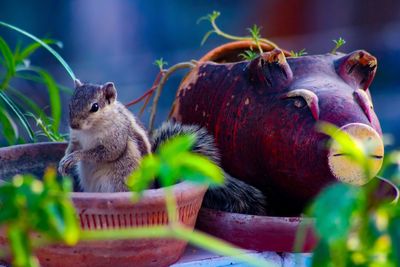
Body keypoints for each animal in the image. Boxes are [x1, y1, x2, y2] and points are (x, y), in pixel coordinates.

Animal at [58, 81, 266, 216]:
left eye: (95, 107)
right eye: (70, 103)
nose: (73, 124)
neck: (89, 130)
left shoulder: (116, 138)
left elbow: (105, 153)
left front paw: (76, 157)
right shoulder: (76, 138)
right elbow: (72, 146)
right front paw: (63, 161)